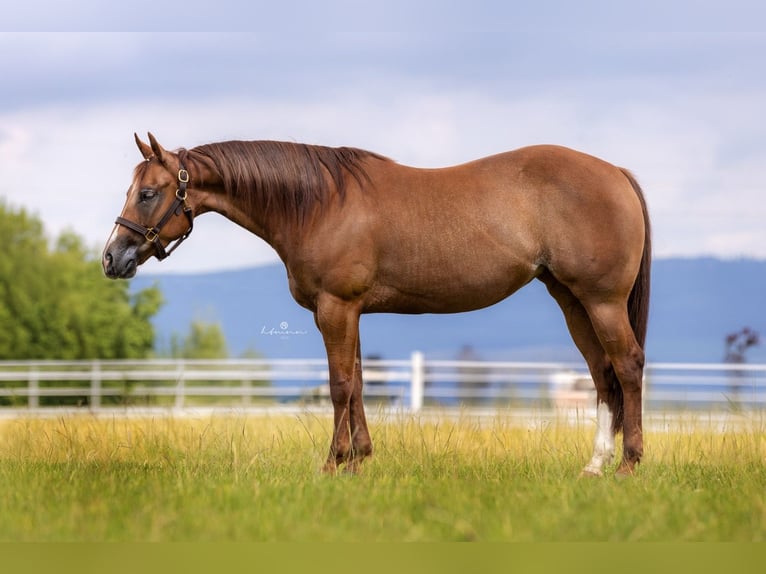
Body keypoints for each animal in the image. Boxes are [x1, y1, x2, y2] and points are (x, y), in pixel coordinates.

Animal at [103, 134, 656, 476]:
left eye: (148, 192)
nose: (112, 258)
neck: (319, 204)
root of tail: (616, 173)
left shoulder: (335, 308)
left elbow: (339, 385)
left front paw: (333, 463)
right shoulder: (348, 312)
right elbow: (359, 383)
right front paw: (360, 460)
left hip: (601, 301)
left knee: (627, 366)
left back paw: (629, 464)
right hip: (572, 300)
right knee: (603, 375)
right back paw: (594, 465)